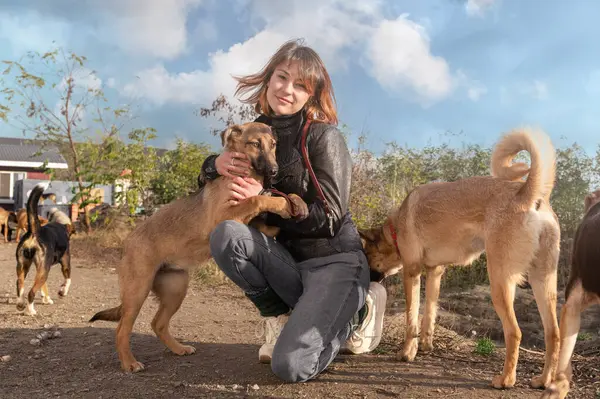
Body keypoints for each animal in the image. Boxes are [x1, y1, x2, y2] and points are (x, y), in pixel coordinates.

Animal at [15, 183, 72, 318]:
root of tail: (34, 231)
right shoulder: (65, 263)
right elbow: (68, 280)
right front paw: (62, 291)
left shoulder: (40, 267)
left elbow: (44, 287)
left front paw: (46, 299)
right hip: (43, 271)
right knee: (31, 292)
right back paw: (30, 311)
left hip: (24, 266)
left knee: (20, 284)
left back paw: (20, 304)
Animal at [89, 122, 310, 376]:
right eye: (255, 144)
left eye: (273, 145)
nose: (274, 171)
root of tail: (128, 242)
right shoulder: (221, 217)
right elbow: (256, 199)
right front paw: (281, 204)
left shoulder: (258, 225)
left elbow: (273, 204)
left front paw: (296, 202)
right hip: (138, 290)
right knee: (122, 330)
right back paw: (129, 363)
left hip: (176, 289)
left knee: (158, 323)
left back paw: (178, 348)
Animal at [360, 128, 564, 390]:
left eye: (367, 256)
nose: (369, 280)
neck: (395, 228)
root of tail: (526, 193)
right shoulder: (435, 272)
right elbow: (429, 314)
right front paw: (425, 345)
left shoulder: (412, 272)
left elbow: (411, 318)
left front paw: (407, 352)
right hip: (543, 283)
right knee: (554, 334)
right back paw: (543, 380)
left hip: (500, 283)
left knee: (514, 332)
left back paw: (506, 380)